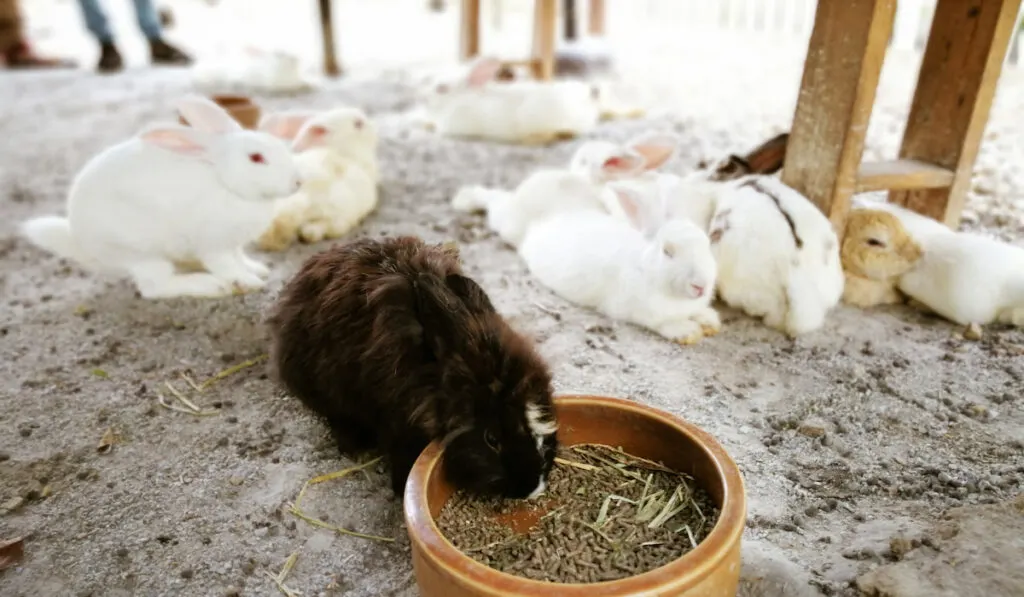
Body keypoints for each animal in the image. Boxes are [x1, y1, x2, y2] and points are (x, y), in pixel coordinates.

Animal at [18, 96, 299, 301]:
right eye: (256, 158)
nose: (297, 182)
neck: (224, 182)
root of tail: (82, 242)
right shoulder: (213, 245)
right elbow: (227, 266)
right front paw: (250, 282)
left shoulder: (234, 244)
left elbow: (240, 258)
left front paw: (257, 269)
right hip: (143, 253)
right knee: (154, 288)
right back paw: (208, 285)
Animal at [520, 181, 720, 346]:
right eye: (667, 251)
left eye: (707, 245)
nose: (701, 286)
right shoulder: (637, 311)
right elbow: (661, 322)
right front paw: (688, 331)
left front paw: (710, 321)